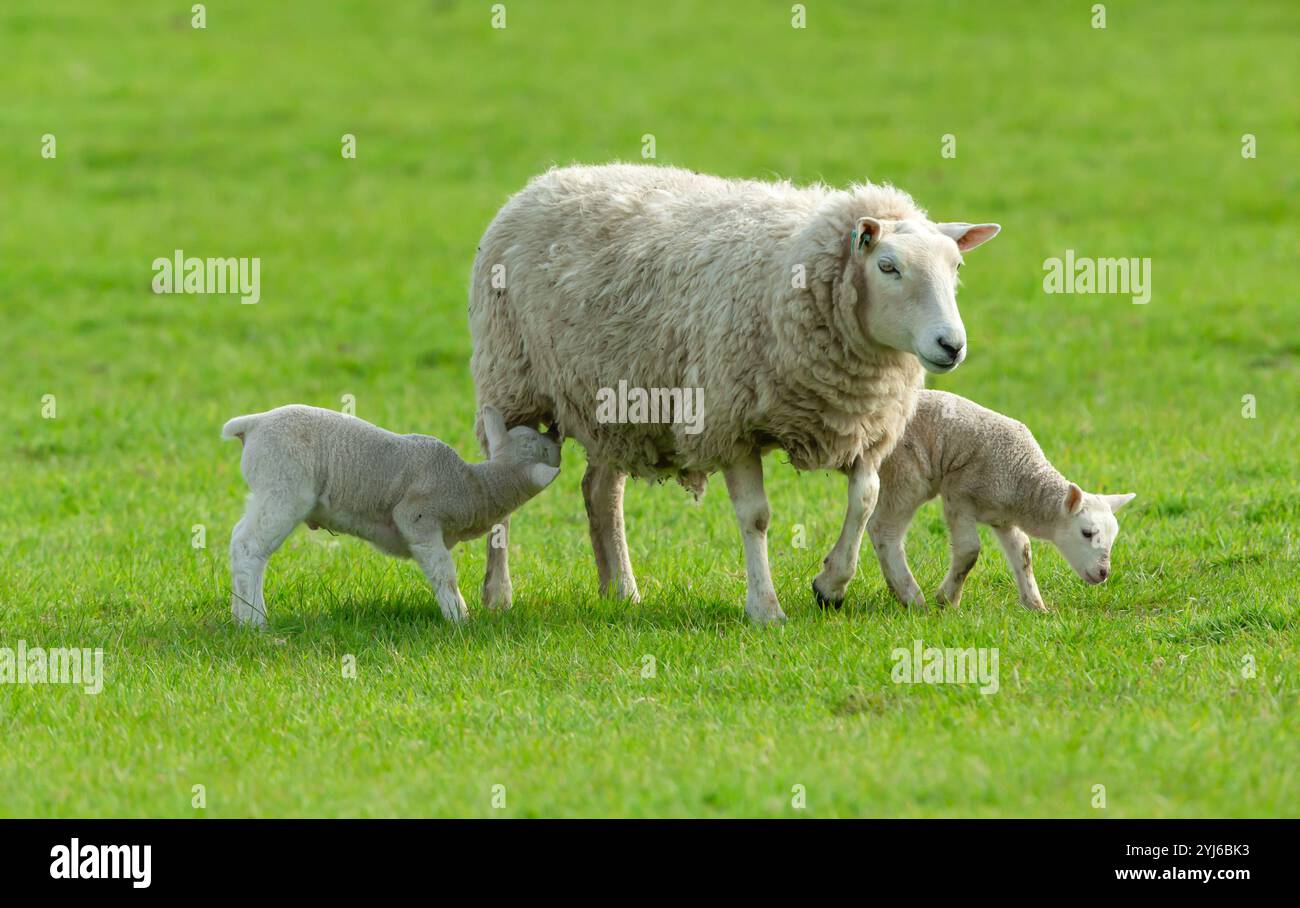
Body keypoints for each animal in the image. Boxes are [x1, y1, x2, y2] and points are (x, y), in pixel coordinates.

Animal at [220, 405, 561, 626]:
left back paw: (239, 615)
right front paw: (459, 618)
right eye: (544, 450)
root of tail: (253, 424)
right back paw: (255, 621)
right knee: (249, 547)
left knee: (238, 538)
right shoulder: (417, 517)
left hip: (267, 490)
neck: (474, 485)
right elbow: (443, 571)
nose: (556, 432)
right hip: (284, 488)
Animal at [468, 163, 1000, 622]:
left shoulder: (866, 423)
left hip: (613, 402)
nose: (951, 345)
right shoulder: (730, 423)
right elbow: (757, 517)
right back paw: (498, 595)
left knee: (601, 493)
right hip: (510, 383)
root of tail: (548, 179)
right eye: (888, 267)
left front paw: (830, 584)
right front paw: (765, 608)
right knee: (503, 480)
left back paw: (621, 591)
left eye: (956, 266)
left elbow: (865, 501)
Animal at [864, 390, 1136, 612]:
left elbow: (1023, 552)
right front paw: (948, 600)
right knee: (884, 531)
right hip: (906, 472)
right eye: (1087, 533)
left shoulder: (1003, 518)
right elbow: (969, 551)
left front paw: (1035, 606)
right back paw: (912, 597)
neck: (1021, 477)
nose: (1104, 573)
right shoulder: (958, 494)